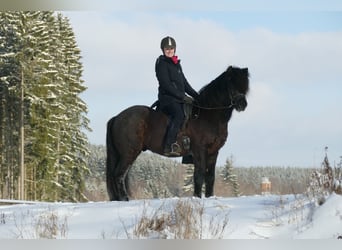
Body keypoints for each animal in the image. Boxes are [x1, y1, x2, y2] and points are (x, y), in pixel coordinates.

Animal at [105, 66, 250, 201]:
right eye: (231, 84)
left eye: (245, 86)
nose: (242, 104)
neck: (207, 115)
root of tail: (117, 117)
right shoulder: (199, 150)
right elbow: (199, 175)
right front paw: (197, 197)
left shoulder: (213, 152)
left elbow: (210, 177)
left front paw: (209, 197)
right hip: (129, 153)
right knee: (119, 175)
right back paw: (124, 198)